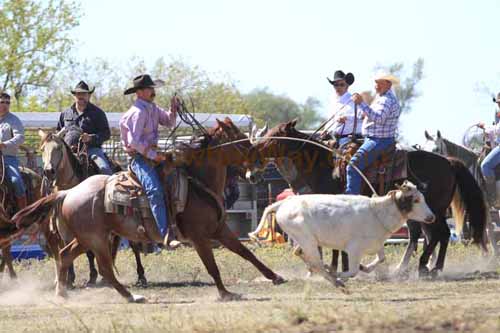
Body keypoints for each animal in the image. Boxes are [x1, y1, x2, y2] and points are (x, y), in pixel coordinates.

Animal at [9, 120, 286, 302]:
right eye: (240, 139)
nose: (259, 165)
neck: (198, 180)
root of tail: (68, 192)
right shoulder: (199, 237)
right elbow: (212, 265)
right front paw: (225, 293)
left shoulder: (220, 230)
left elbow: (246, 253)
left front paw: (275, 277)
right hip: (95, 239)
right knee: (103, 268)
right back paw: (130, 295)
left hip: (87, 238)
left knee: (66, 255)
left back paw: (63, 292)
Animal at [246, 118, 488, 274]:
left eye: (271, 139)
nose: (251, 173)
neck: (322, 166)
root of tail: (448, 161)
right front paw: (320, 269)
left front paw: (336, 268)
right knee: (432, 235)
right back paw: (423, 267)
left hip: (433, 209)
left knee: (438, 234)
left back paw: (425, 266)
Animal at [249, 180, 434, 286]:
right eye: (416, 200)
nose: (431, 217)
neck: (377, 212)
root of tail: (283, 204)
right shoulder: (353, 249)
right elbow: (352, 271)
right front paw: (340, 274)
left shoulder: (377, 244)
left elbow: (381, 258)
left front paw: (365, 267)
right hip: (306, 239)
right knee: (313, 260)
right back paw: (332, 277)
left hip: (303, 240)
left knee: (300, 253)